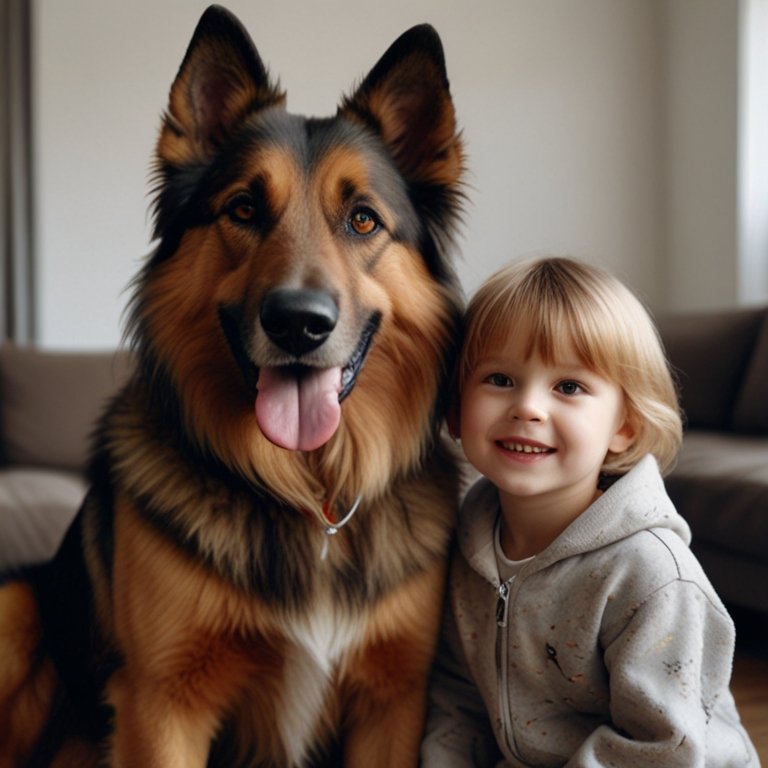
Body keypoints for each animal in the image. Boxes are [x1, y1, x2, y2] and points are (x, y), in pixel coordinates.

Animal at [0, 6, 464, 768]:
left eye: (362, 219)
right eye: (244, 209)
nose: (298, 323)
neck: (309, 496)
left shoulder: (393, 702)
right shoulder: (163, 705)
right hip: (16, 604)